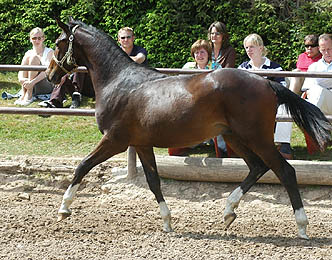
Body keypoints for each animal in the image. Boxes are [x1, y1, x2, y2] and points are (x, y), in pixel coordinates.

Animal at [46, 17, 332, 239]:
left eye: (59, 43)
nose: (50, 75)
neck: (119, 82)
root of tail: (267, 83)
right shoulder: (141, 144)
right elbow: (153, 182)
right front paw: (167, 222)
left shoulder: (115, 140)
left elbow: (83, 166)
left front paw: (63, 209)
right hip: (235, 136)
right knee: (258, 167)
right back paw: (228, 213)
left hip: (256, 137)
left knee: (285, 171)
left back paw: (302, 227)